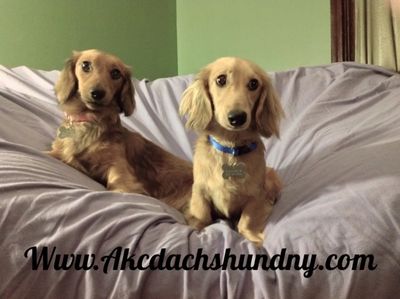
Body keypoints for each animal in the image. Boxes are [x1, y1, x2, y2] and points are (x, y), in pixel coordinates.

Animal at [49, 49, 193, 211]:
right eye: (85, 65)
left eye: (116, 73)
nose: (97, 93)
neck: (90, 121)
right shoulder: (59, 153)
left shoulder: (120, 170)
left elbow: (118, 185)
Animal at [178, 56, 284, 246]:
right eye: (221, 80)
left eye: (253, 83)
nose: (237, 118)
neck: (230, 149)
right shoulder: (199, 191)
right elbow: (201, 216)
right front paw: (196, 228)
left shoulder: (256, 196)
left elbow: (246, 221)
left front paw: (253, 236)